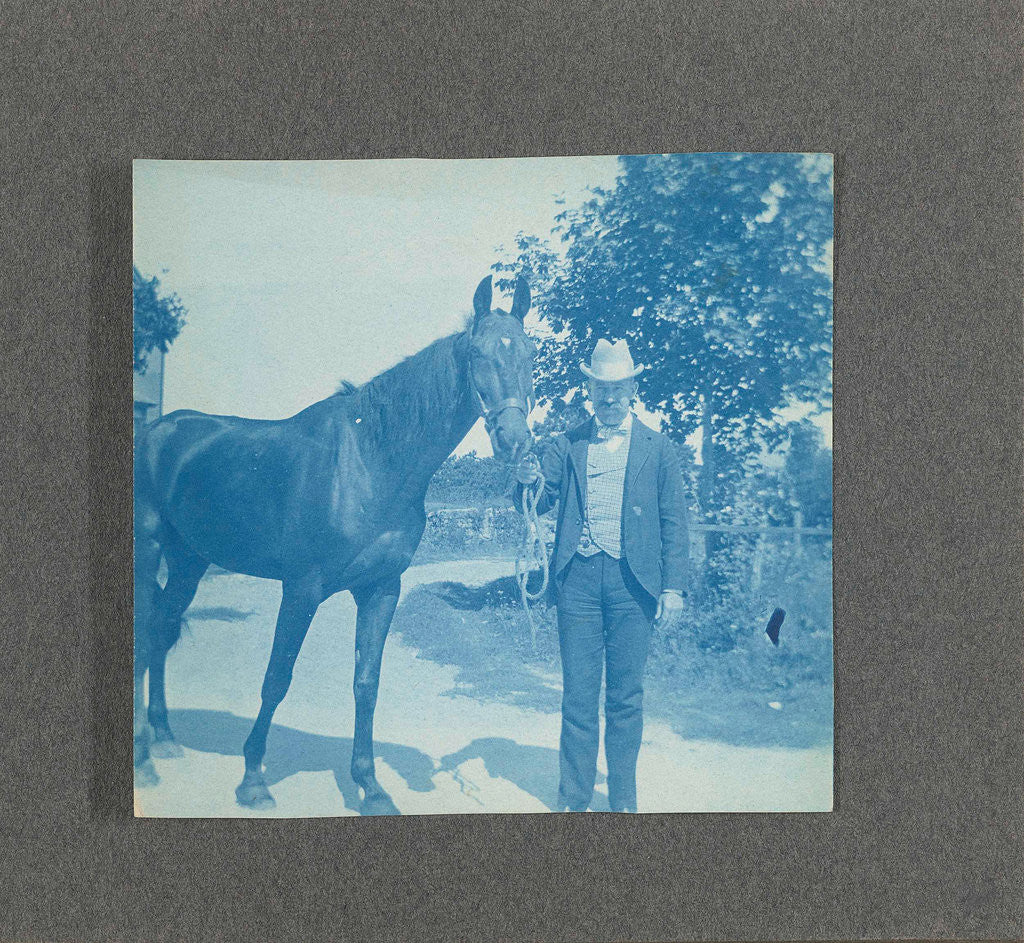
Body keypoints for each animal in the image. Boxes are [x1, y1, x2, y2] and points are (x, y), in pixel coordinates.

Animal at [133, 275, 536, 814]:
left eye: (530, 353)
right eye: (476, 353)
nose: (515, 441)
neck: (370, 463)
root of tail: (157, 429)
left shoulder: (382, 589)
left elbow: (366, 684)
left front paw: (371, 787)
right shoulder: (302, 589)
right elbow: (277, 678)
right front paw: (253, 779)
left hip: (190, 560)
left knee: (161, 630)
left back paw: (164, 736)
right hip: (150, 550)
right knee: (147, 632)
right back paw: (145, 757)